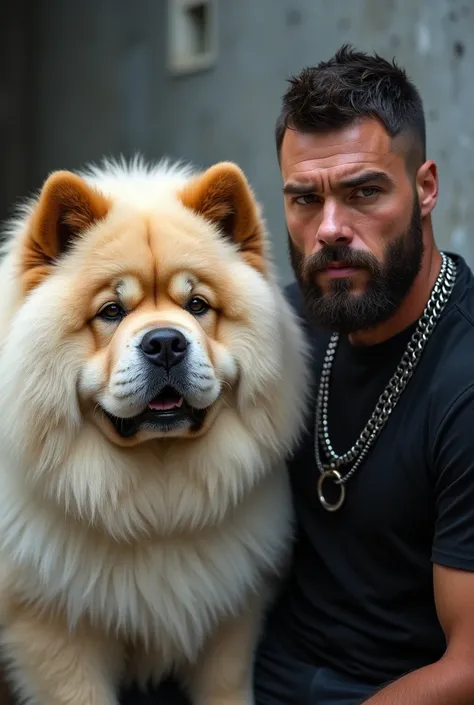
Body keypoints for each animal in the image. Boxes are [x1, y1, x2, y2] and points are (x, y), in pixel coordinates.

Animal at [0, 157, 308, 700]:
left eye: (197, 305)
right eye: (111, 311)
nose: (165, 343)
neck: (156, 511)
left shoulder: (230, 617)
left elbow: (226, 687)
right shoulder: (52, 633)